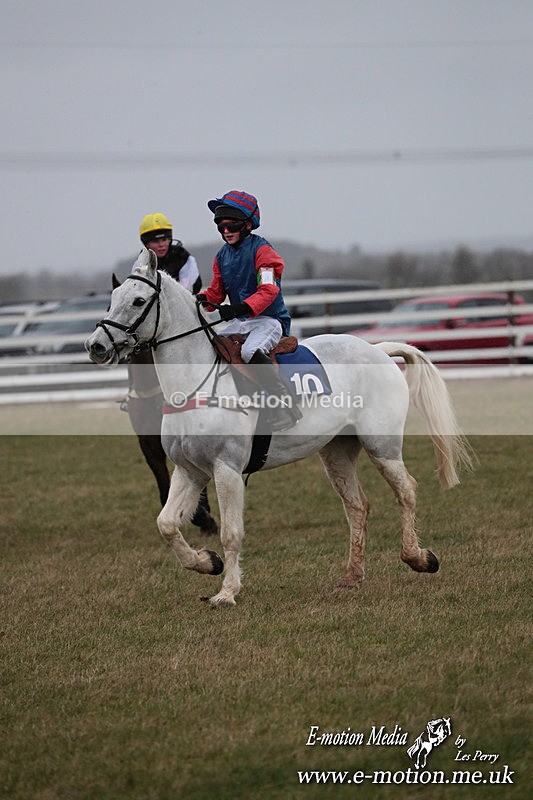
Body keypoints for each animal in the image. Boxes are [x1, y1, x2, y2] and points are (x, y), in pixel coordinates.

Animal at [86, 248, 472, 607]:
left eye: (138, 300)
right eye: (113, 299)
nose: (96, 345)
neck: (196, 384)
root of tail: (378, 350)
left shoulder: (226, 469)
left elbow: (231, 533)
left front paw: (227, 591)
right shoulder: (189, 470)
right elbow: (166, 524)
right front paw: (206, 562)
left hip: (382, 445)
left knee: (405, 492)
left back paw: (418, 558)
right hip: (337, 452)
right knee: (357, 506)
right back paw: (352, 575)